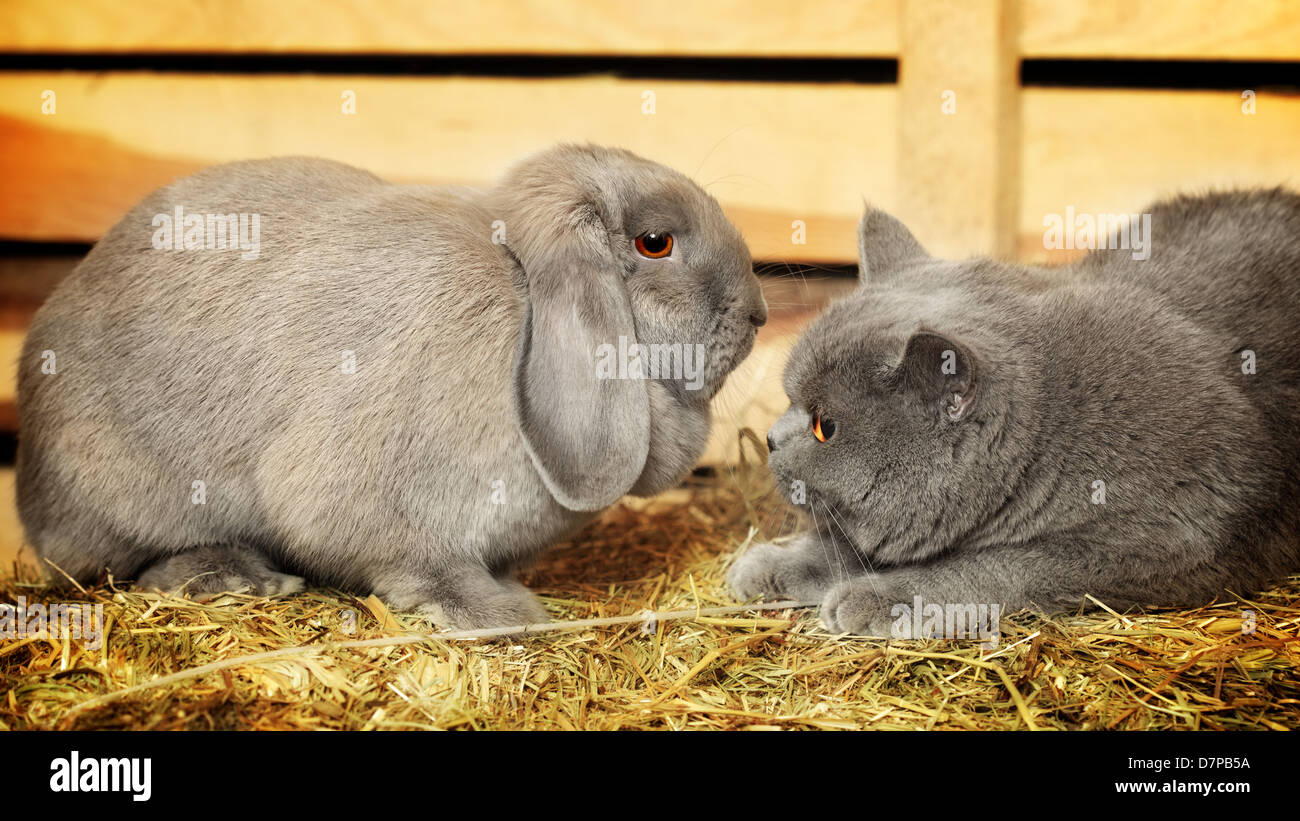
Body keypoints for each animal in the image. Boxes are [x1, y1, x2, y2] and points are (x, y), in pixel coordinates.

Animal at [15, 142, 764, 628]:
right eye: (655, 242)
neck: (520, 290)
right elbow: (419, 565)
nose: (757, 312)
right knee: (122, 564)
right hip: (118, 492)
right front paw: (504, 612)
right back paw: (237, 574)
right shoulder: (378, 505)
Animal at [733, 190, 1300, 633]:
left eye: (824, 427)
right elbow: (847, 544)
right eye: (790, 399)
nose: (770, 437)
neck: (1056, 437)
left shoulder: (1164, 538)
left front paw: (877, 597)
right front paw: (769, 563)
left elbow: (993, 566)